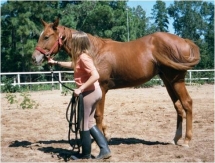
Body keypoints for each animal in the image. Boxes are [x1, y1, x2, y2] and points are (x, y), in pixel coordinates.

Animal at [31, 18, 200, 147]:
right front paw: (106, 134)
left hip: (176, 80)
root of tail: (184, 41)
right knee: (178, 106)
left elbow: (98, 115)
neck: (94, 52)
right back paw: (176, 138)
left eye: (46, 36)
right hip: (168, 80)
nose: (34, 58)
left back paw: (186, 140)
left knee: (187, 103)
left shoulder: (102, 88)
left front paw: (99, 140)